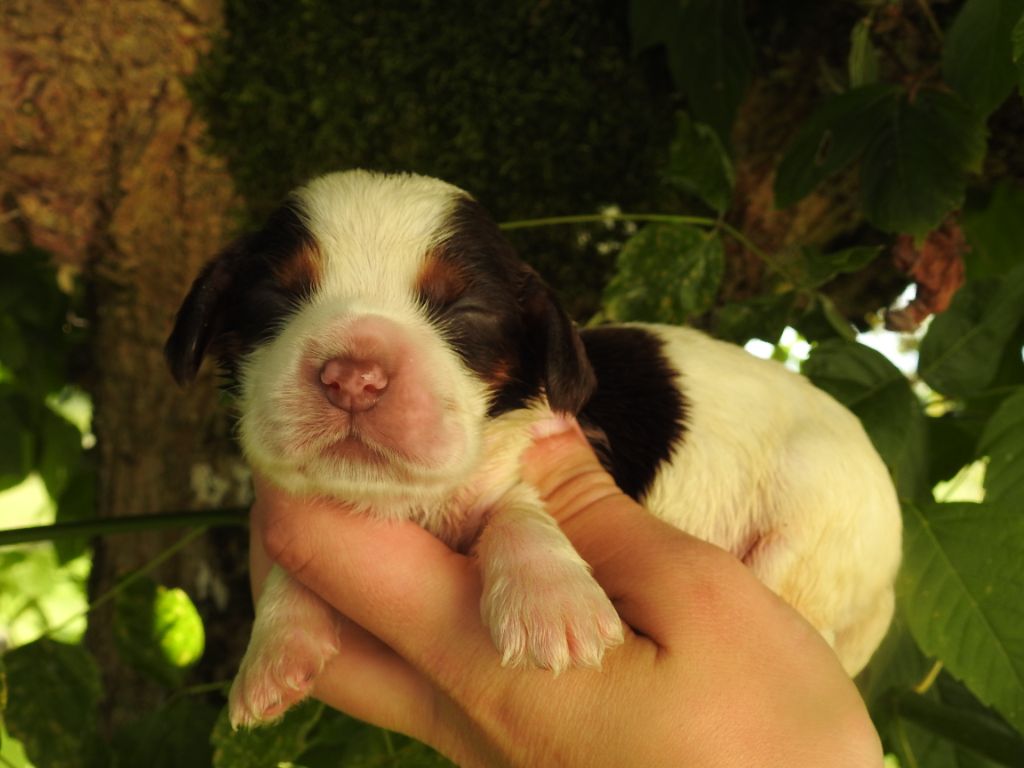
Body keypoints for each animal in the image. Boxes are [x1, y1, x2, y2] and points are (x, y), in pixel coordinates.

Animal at [163, 171, 901, 729]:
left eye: (464, 313)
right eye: (275, 296)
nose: (354, 376)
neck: (410, 502)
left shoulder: (532, 456)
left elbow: (518, 510)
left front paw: (555, 605)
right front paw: (274, 651)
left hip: (817, 516)